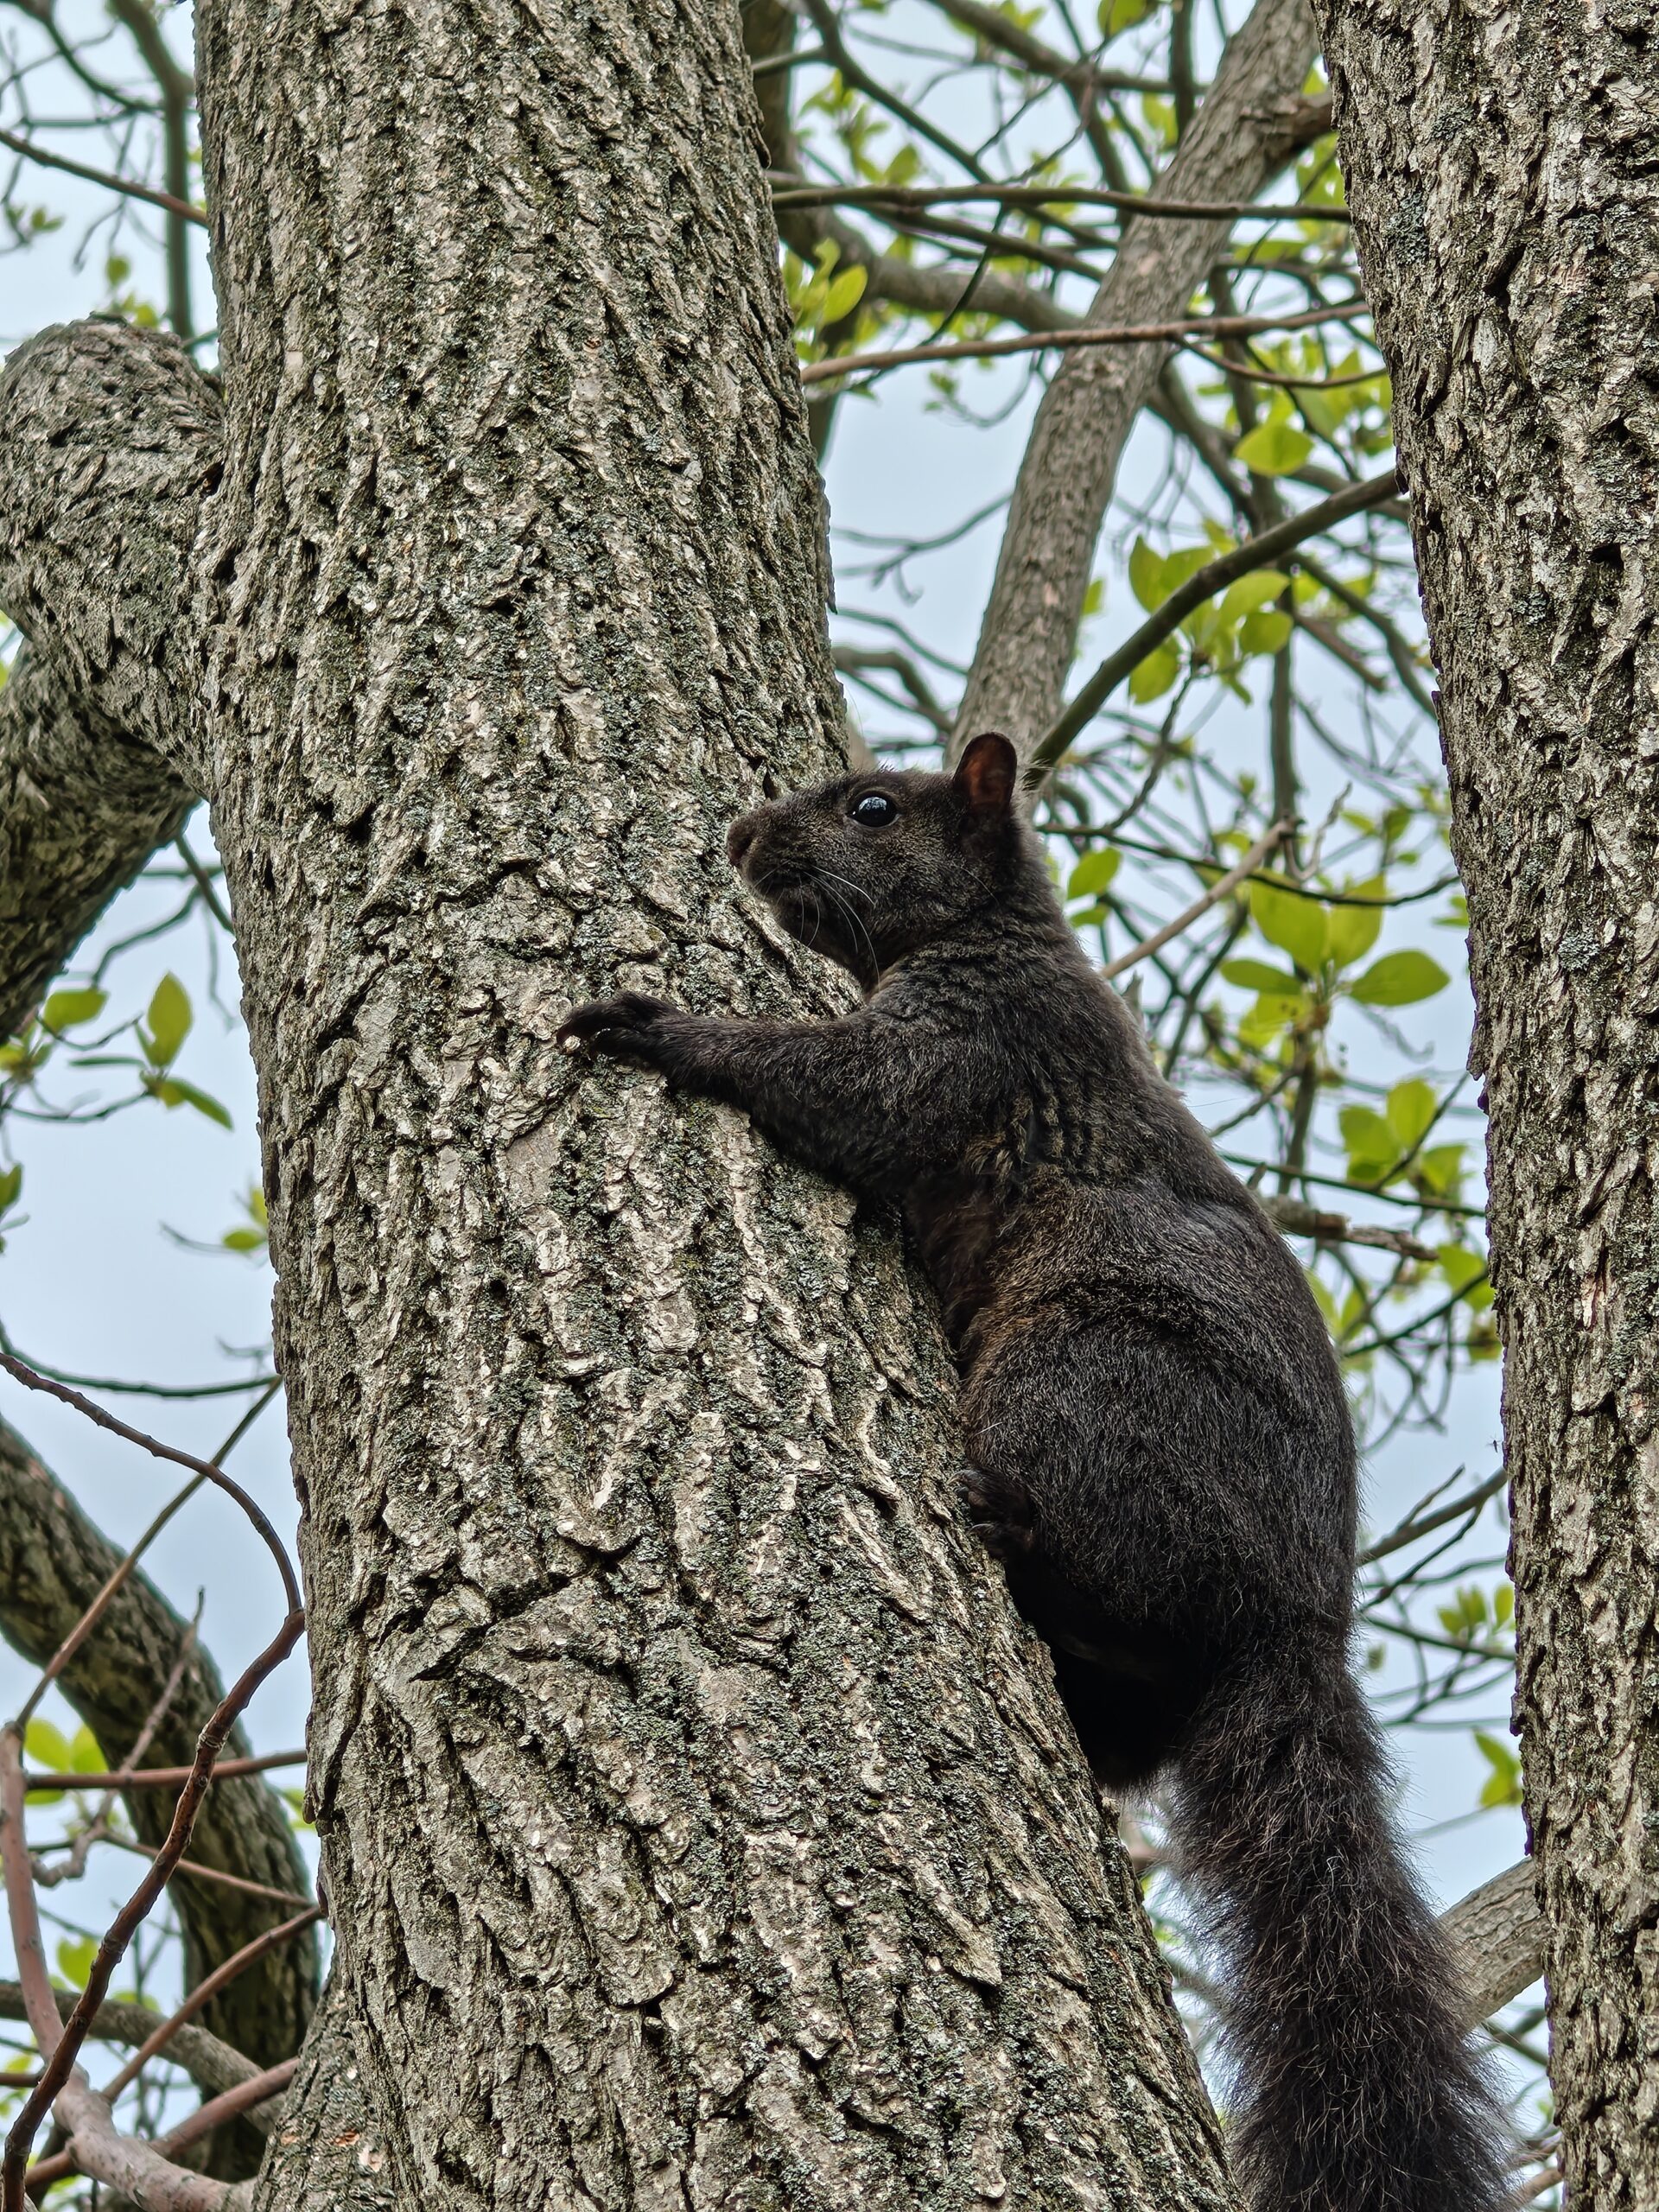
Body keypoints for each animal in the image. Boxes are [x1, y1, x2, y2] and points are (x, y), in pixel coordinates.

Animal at [559, 731, 1510, 2212]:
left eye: (873, 809)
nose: (743, 835)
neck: (996, 929)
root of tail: (1297, 1621)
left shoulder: (980, 1037)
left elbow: (847, 1093)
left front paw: (655, 1026)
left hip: (1081, 1379)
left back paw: (1006, 1519)